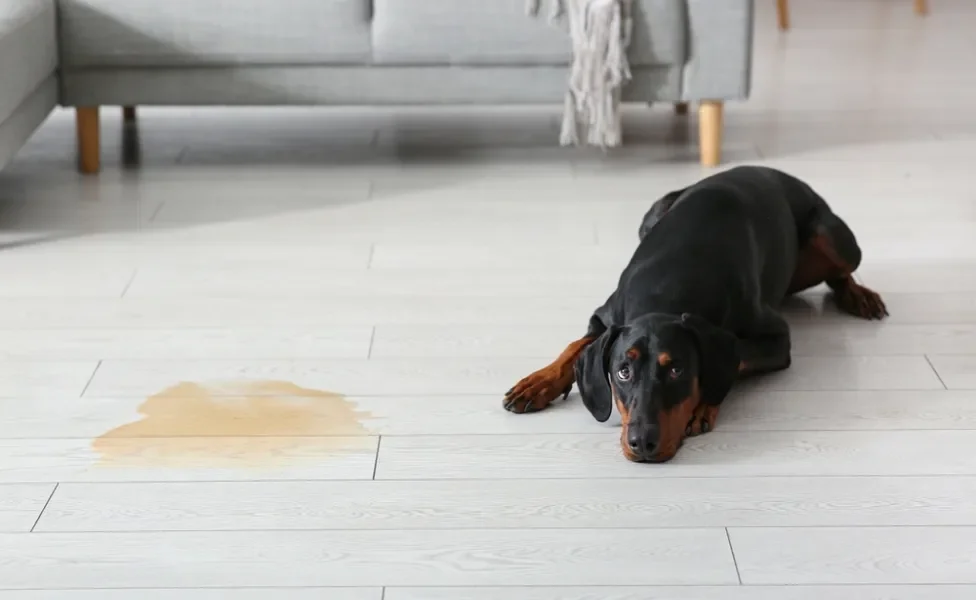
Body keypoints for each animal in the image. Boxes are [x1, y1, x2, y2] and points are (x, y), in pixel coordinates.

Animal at [504, 165, 884, 464]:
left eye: (677, 369)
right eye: (622, 371)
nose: (642, 443)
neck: (666, 289)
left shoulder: (776, 337)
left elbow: (737, 357)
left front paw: (702, 406)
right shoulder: (606, 315)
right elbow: (575, 346)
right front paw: (537, 382)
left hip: (833, 236)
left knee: (839, 272)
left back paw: (859, 295)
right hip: (653, 212)